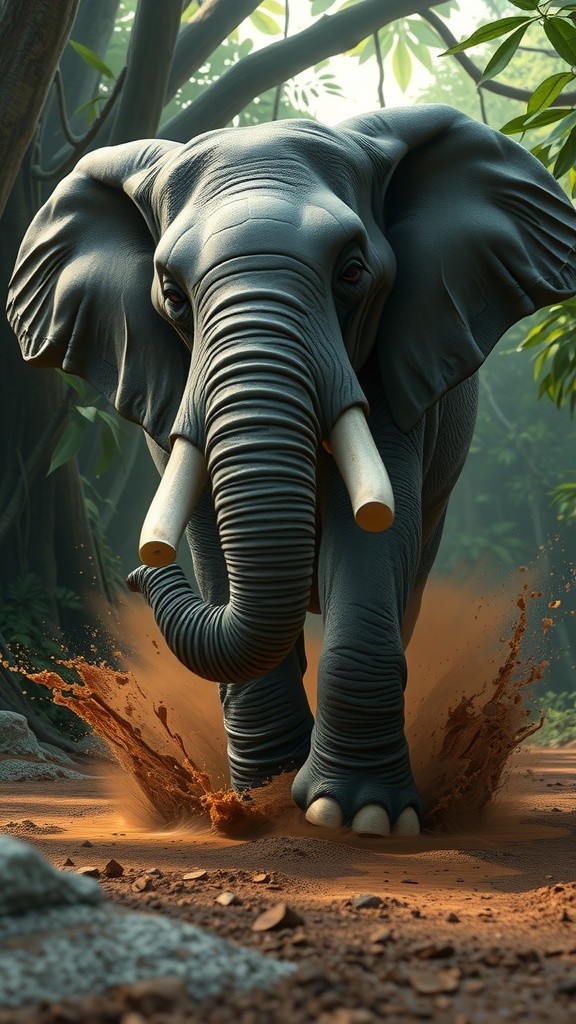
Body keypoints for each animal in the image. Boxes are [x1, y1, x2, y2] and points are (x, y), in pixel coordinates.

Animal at [8, 104, 576, 836]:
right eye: (171, 294)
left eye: (353, 273)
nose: (137, 571)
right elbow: (215, 544)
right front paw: (263, 800)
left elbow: (371, 537)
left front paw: (361, 816)